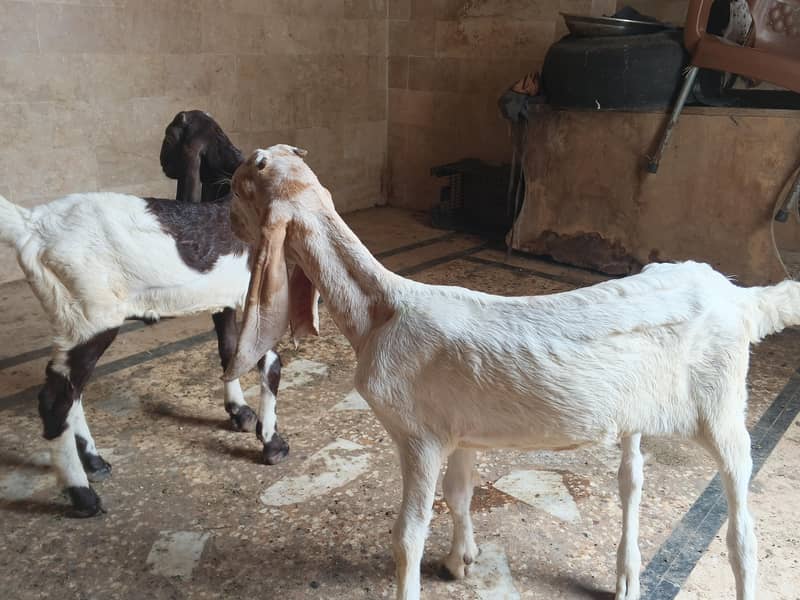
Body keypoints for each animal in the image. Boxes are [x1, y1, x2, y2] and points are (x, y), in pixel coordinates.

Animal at [223, 144, 800, 600]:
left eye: (241, 185)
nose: (225, 222)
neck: (380, 312)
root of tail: (738, 296)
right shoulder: (458, 431)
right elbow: (459, 493)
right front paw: (460, 560)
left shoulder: (419, 436)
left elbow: (408, 535)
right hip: (637, 409)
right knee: (632, 479)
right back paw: (627, 575)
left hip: (722, 406)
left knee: (741, 530)